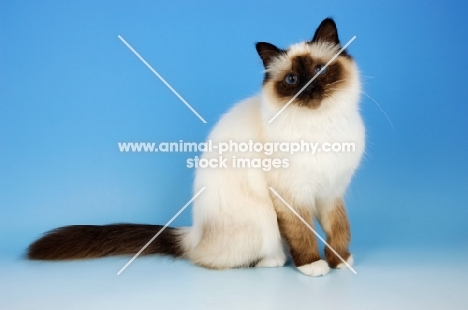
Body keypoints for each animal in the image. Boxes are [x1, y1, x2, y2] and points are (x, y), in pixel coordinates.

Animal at [27, 18, 366, 278]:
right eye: (293, 80)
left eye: (319, 71)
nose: (309, 89)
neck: (322, 126)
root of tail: (193, 234)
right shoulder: (292, 195)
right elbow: (303, 233)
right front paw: (313, 265)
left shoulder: (332, 190)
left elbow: (339, 228)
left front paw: (340, 261)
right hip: (264, 219)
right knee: (234, 257)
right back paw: (275, 259)